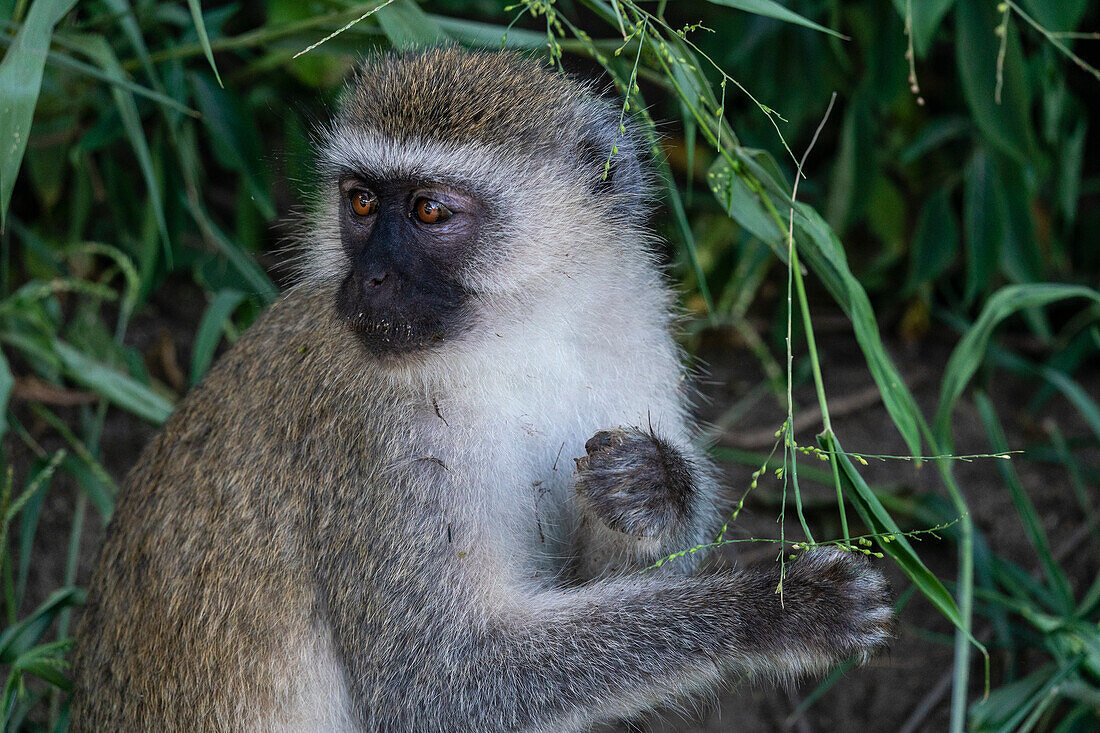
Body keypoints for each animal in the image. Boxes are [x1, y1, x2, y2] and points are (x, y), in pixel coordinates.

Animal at [70, 48, 893, 726]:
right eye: (361, 201)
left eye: (429, 209)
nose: (369, 279)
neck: (518, 335)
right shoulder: (376, 432)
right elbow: (440, 681)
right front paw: (775, 607)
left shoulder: (631, 344)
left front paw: (656, 486)